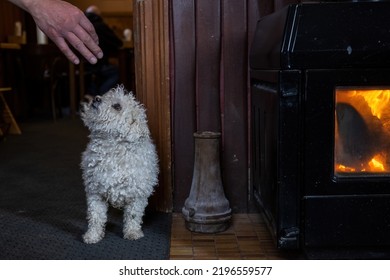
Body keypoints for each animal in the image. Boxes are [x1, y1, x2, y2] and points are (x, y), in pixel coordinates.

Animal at [80, 85, 159, 243]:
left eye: (117, 106)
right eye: (105, 95)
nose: (96, 98)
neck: (111, 148)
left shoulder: (137, 194)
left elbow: (133, 216)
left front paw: (132, 232)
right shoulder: (95, 192)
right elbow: (95, 216)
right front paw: (93, 235)